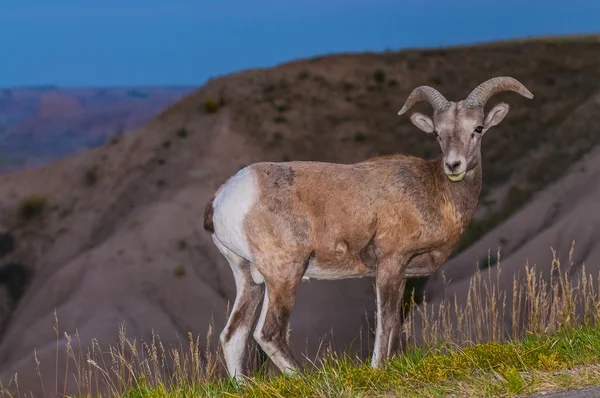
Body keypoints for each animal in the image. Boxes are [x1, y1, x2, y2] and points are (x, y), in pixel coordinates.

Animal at [204, 76, 532, 378]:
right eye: (438, 133)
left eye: (478, 128)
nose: (454, 166)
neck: (434, 191)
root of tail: (224, 197)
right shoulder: (389, 264)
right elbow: (384, 322)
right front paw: (378, 370)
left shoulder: (403, 275)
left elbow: (395, 323)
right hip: (284, 274)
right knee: (268, 333)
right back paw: (306, 378)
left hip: (249, 279)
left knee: (233, 335)